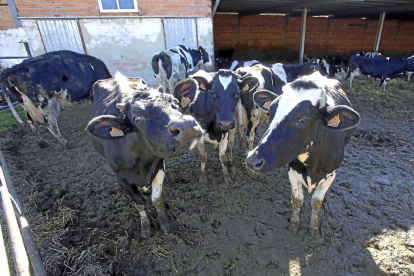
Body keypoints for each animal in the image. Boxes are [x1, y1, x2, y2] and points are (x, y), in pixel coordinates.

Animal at [86, 71, 203, 237]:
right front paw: (146, 227)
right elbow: (139, 203)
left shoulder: (159, 166)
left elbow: (156, 198)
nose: (185, 126)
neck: (141, 163)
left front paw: (164, 223)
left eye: (175, 102)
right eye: (137, 118)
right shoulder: (121, 178)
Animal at [246, 72, 360, 236]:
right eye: (271, 112)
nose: (253, 160)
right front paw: (294, 224)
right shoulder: (293, 170)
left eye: (303, 119)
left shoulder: (331, 174)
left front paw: (314, 228)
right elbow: (297, 199)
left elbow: (316, 201)